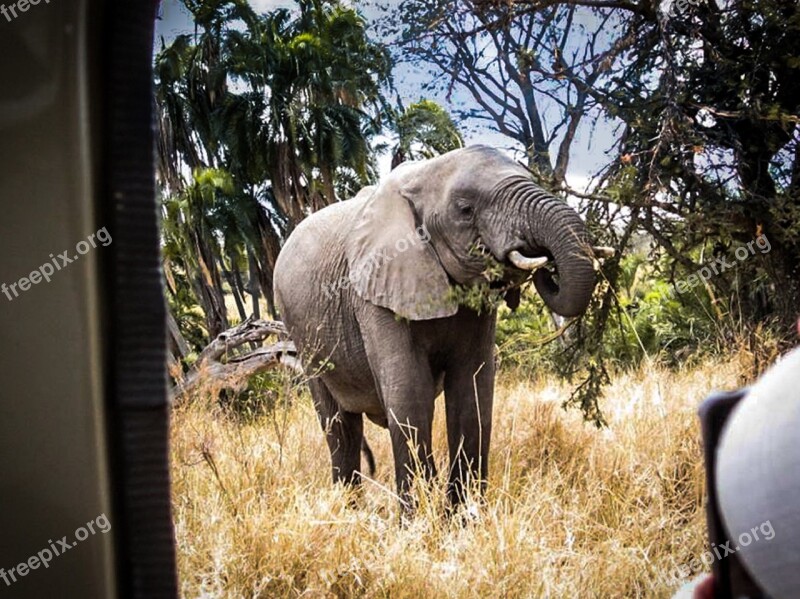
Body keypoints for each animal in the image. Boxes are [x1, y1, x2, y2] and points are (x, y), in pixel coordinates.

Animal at [272, 146, 608, 510]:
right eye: (465, 209)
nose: (546, 265)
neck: (423, 175)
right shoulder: (375, 291)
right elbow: (410, 394)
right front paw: (419, 519)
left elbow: (472, 391)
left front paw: (464, 516)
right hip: (302, 335)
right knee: (341, 428)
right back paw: (350, 513)